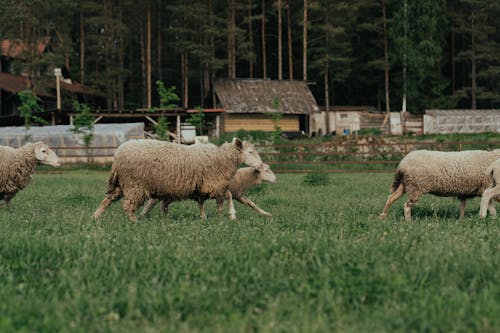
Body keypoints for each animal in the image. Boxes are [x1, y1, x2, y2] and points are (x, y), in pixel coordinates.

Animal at [92, 137, 264, 220]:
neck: (221, 158)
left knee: (107, 200)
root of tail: (118, 155)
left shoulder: (202, 187)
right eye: (250, 152)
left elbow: (204, 203)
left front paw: (210, 217)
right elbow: (227, 195)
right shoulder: (212, 184)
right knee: (127, 206)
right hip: (135, 184)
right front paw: (231, 215)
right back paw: (134, 221)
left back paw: (95, 217)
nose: (261, 165)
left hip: (122, 185)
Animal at [141, 162, 280, 217]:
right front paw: (231, 215)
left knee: (163, 204)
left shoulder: (238, 195)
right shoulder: (224, 192)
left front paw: (266, 213)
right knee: (152, 202)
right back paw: (143, 216)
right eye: (266, 170)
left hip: (170, 196)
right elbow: (227, 199)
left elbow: (252, 204)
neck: (242, 178)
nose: (276, 179)